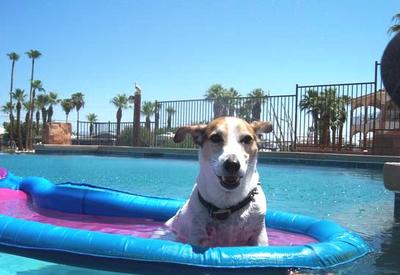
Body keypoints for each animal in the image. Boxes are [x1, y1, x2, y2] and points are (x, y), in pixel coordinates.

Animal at [165, 116, 272, 248]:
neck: (226, 206)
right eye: (215, 138)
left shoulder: (259, 235)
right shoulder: (197, 235)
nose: (232, 164)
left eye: (247, 139)